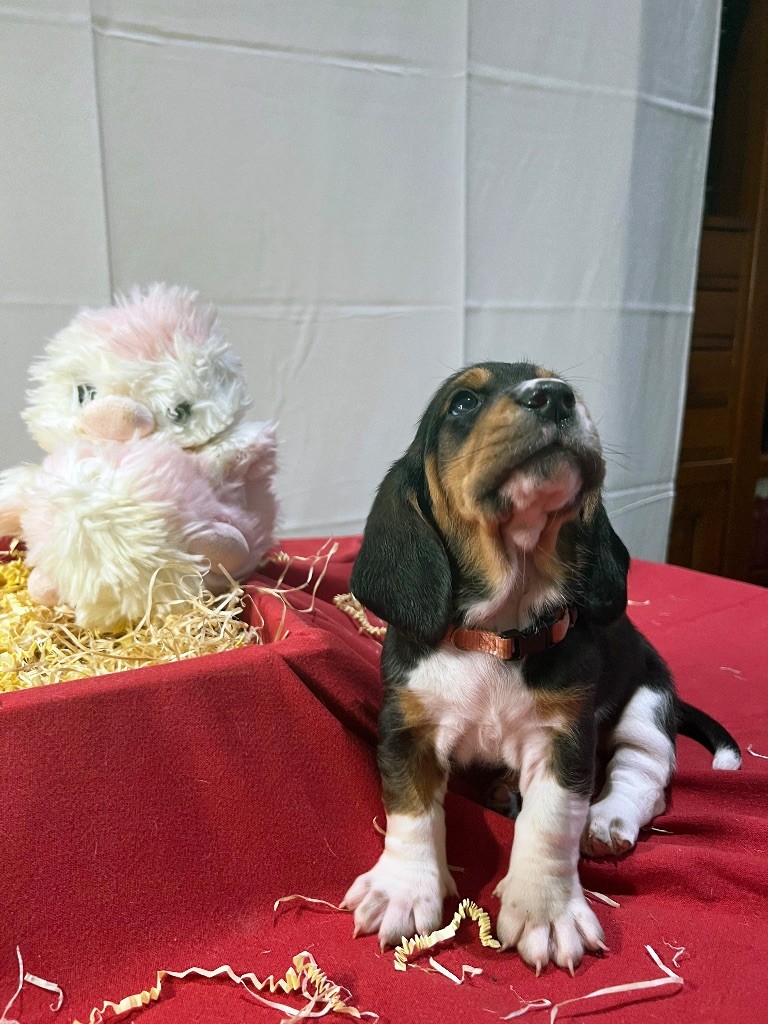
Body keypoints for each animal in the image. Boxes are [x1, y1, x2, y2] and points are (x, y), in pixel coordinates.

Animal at [341, 361, 741, 973]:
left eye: (554, 380)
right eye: (463, 402)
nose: (555, 396)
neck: (497, 633)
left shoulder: (563, 737)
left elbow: (551, 823)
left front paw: (545, 911)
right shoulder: (408, 729)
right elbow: (410, 812)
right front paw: (402, 890)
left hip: (648, 702)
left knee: (643, 773)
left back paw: (607, 820)